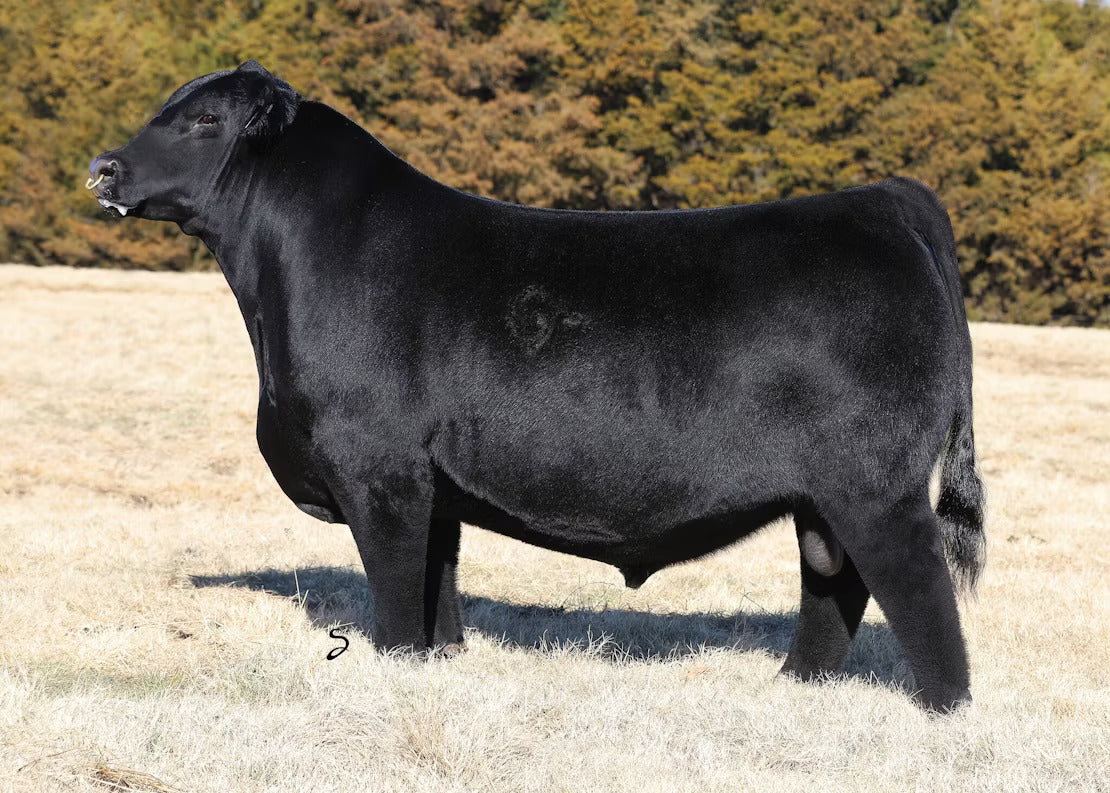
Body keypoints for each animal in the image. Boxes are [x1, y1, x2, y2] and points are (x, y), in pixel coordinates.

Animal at [87, 61, 986, 712]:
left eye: (206, 120)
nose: (104, 168)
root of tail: (883, 200)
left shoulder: (377, 467)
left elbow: (395, 587)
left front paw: (395, 665)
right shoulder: (433, 484)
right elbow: (437, 582)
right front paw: (441, 660)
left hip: (875, 485)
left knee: (919, 586)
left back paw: (942, 709)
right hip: (824, 496)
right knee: (833, 581)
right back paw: (796, 687)